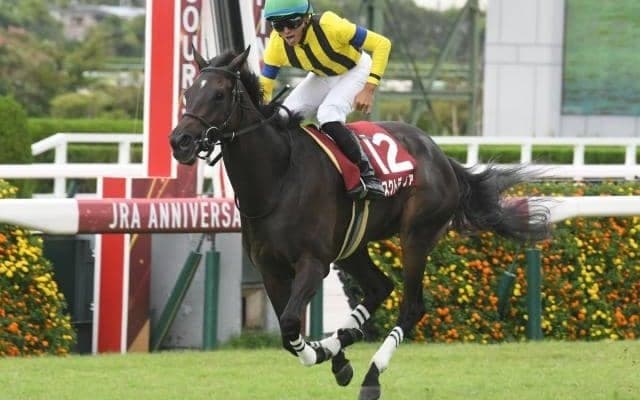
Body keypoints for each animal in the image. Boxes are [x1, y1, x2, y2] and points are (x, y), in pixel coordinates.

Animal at [169, 47, 550, 400]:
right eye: (187, 92)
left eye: (219, 94)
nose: (180, 141)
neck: (278, 179)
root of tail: (442, 156)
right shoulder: (269, 268)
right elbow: (287, 333)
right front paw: (331, 353)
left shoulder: (313, 263)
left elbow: (291, 324)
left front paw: (328, 354)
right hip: (353, 246)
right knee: (380, 287)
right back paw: (344, 342)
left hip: (416, 236)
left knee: (412, 306)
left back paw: (371, 376)